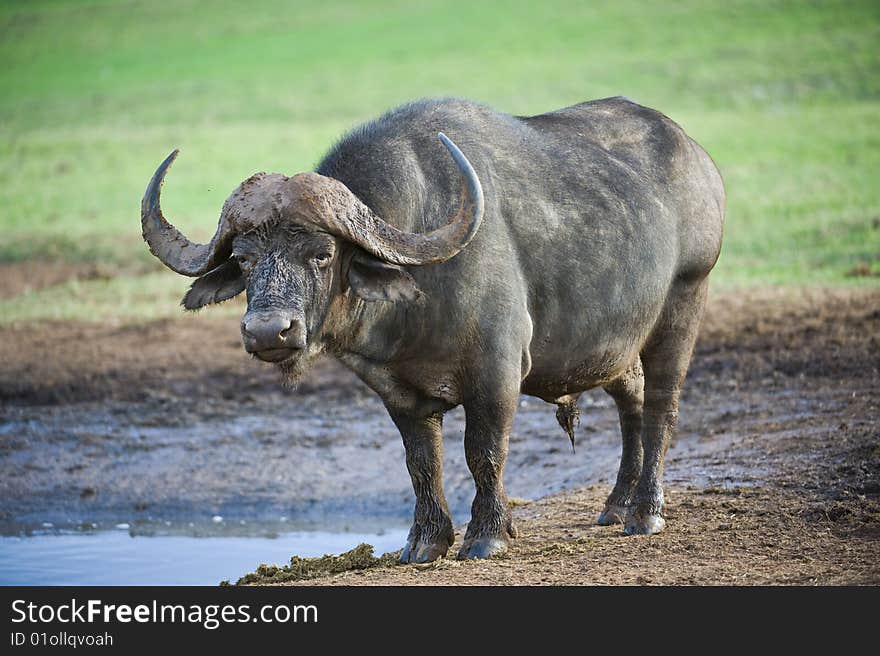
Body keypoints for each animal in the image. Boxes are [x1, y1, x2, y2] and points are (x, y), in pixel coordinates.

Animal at [141, 95, 724, 560]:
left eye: (322, 254)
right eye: (243, 260)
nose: (268, 333)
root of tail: (698, 158)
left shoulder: (496, 375)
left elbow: (483, 452)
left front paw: (487, 535)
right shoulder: (396, 392)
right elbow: (422, 462)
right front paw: (425, 542)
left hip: (684, 301)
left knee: (662, 407)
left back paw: (645, 513)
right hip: (615, 343)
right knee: (632, 402)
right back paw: (616, 504)